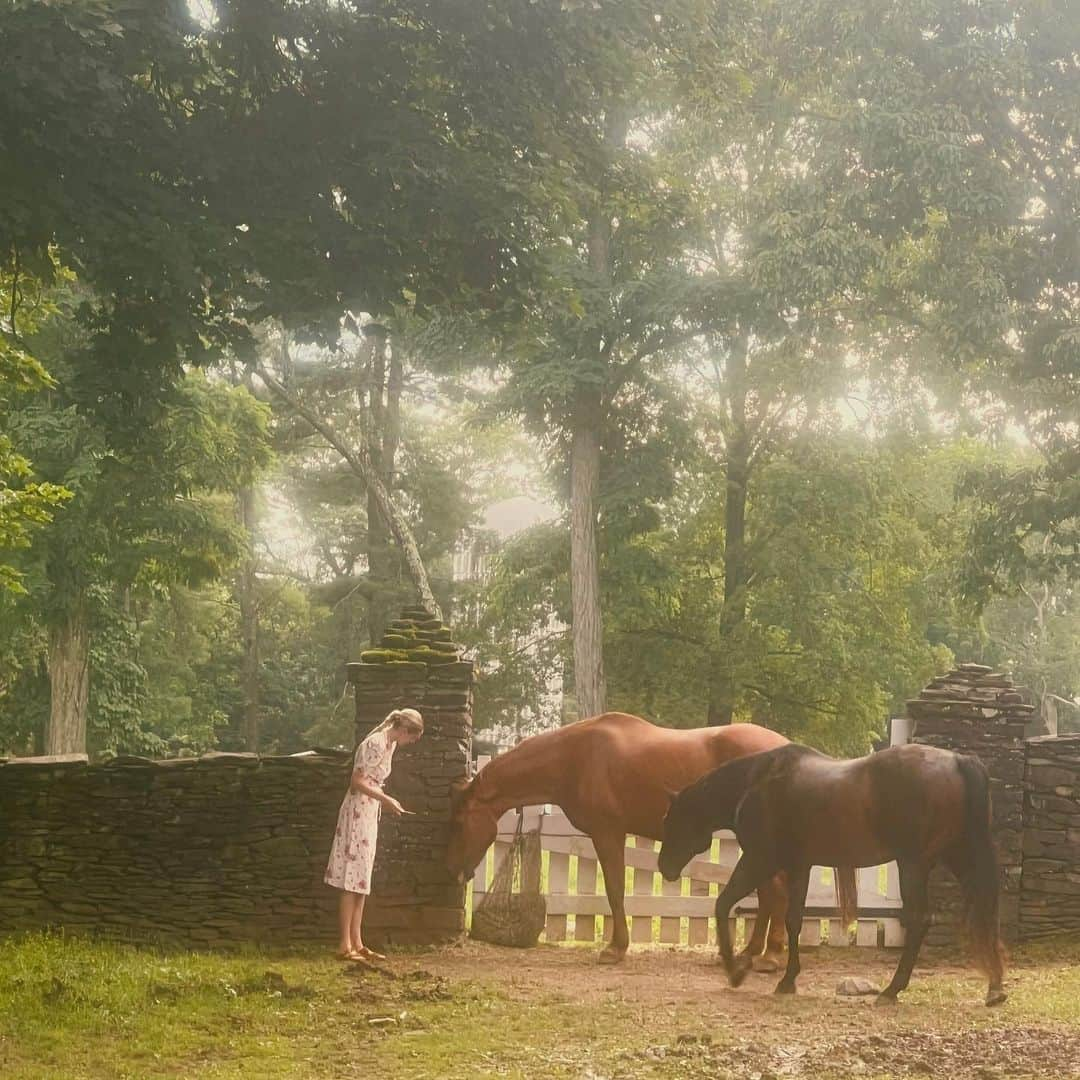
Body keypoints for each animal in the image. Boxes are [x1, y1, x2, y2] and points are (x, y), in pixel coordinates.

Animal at [447, 712, 851, 967]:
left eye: (459, 821)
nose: (457, 871)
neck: (574, 757)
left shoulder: (608, 832)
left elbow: (614, 890)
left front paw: (615, 948)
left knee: (774, 892)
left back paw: (768, 955)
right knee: (769, 894)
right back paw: (753, 952)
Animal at [660, 743, 1006, 1002]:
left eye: (672, 821)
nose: (664, 867)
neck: (756, 784)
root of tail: (958, 761)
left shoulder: (760, 860)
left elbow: (722, 905)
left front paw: (735, 970)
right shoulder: (799, 866)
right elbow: (794, 920)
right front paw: (788, 980)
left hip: (913, 865)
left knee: (921, 919)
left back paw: (892, 989)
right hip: (957, 858)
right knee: (985, 913)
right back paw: (995, 987)